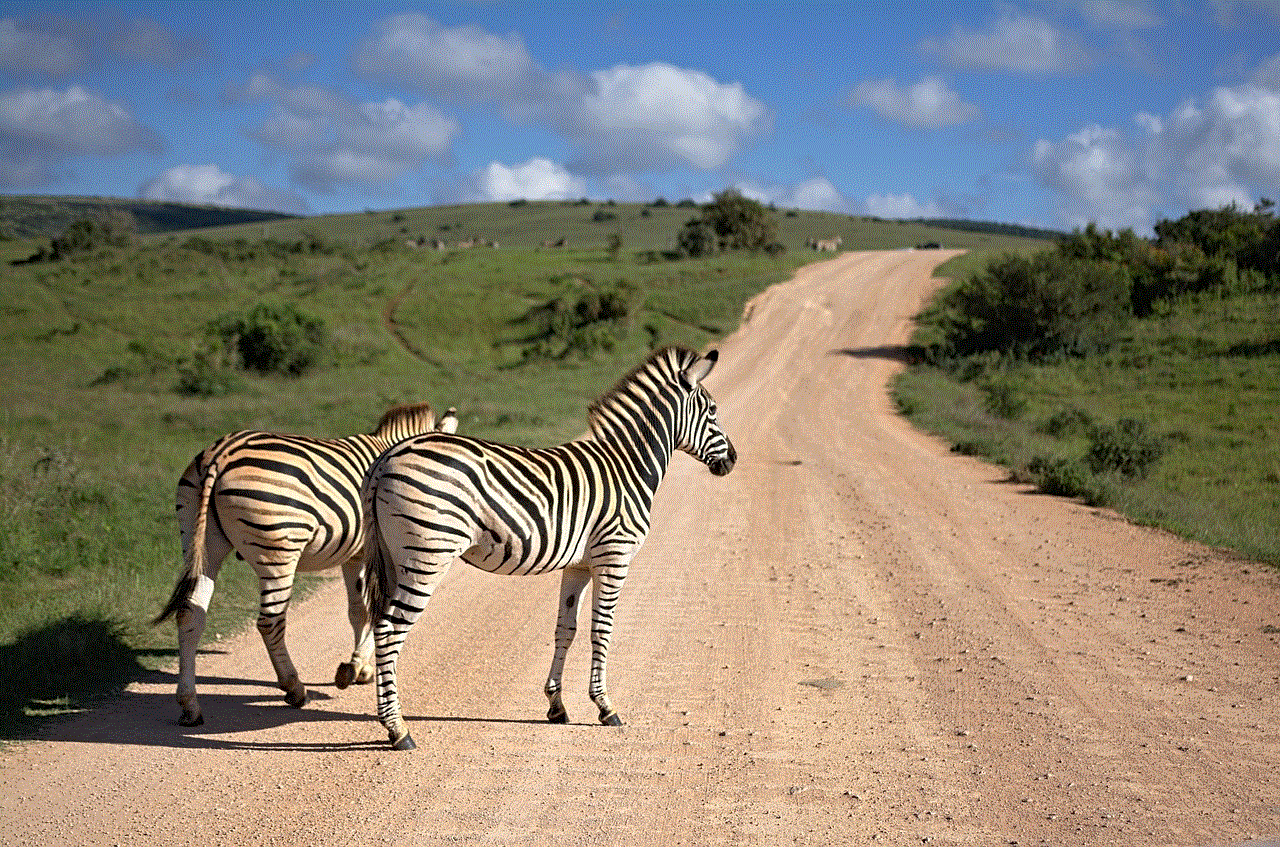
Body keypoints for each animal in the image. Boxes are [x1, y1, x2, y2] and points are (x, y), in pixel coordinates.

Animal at [152, 401, 460, 726]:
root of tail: (221, 453)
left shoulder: (355, 555)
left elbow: (359, 611)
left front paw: (359, 668)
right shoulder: (376, 553)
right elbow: (375, 610)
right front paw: (356, 667)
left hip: (200, 542)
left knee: (190, 615)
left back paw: (190, 705)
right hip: (278, 549)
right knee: (270, 621)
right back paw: (294, 688)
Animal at [366, 348, 737, 752]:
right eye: (713, 410)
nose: (733, 460)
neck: (628, 467)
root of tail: (387, 457)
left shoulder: (579, 565)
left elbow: (566, 628)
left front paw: (556, 705)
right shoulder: (614, 556)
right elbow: (602, 629)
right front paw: (605, 707)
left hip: (395, 557)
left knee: (379, 625)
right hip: (427, 555)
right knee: (389, 630)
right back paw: (398, 729)